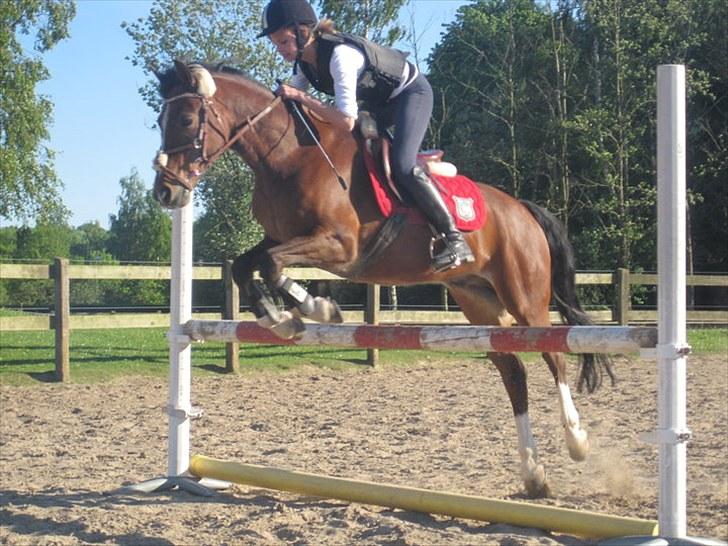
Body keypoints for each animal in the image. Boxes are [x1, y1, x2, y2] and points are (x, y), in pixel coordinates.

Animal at [154, 60, 616, 498]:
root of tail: (522, 209)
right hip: (477, 298)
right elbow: (245, 265)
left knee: (554, 355)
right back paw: (534, 473)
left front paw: (314, 308)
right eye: (161, 120)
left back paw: (576, 440)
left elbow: (270, 264)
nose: (165, 194)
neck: (286, 156)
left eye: (186, 119)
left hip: (523, 296)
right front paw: (280, 317)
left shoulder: (340, 246)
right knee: (513, 370)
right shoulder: (283, 237)